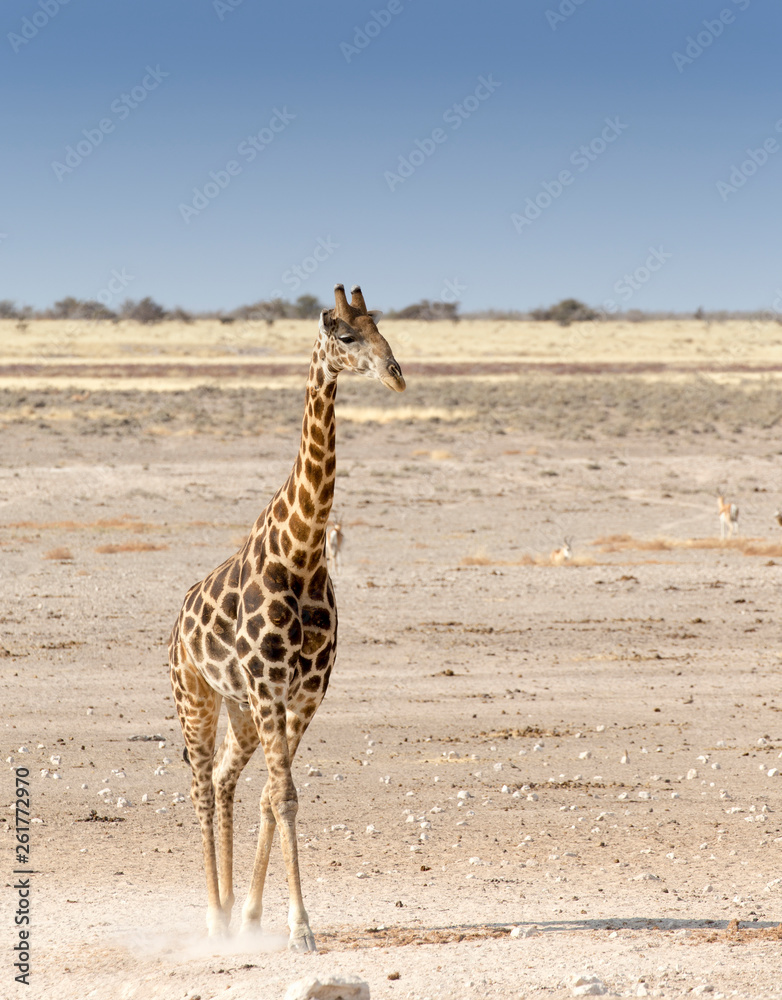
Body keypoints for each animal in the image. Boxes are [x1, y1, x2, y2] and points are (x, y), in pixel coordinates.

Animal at [168, 284, 405, 952]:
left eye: (383, 329)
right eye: (345, 336)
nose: (396, 374)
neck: (300, 555)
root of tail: (175, 625)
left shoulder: (303, 696)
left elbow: (279, 799)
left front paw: (260, 916)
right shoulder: (273, 690)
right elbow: (285, 795)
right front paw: (300, 929)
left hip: (240, 709)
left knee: (226, 779)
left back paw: (231, 915)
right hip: (195, 697)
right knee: (200, 784)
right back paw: (212, 917)